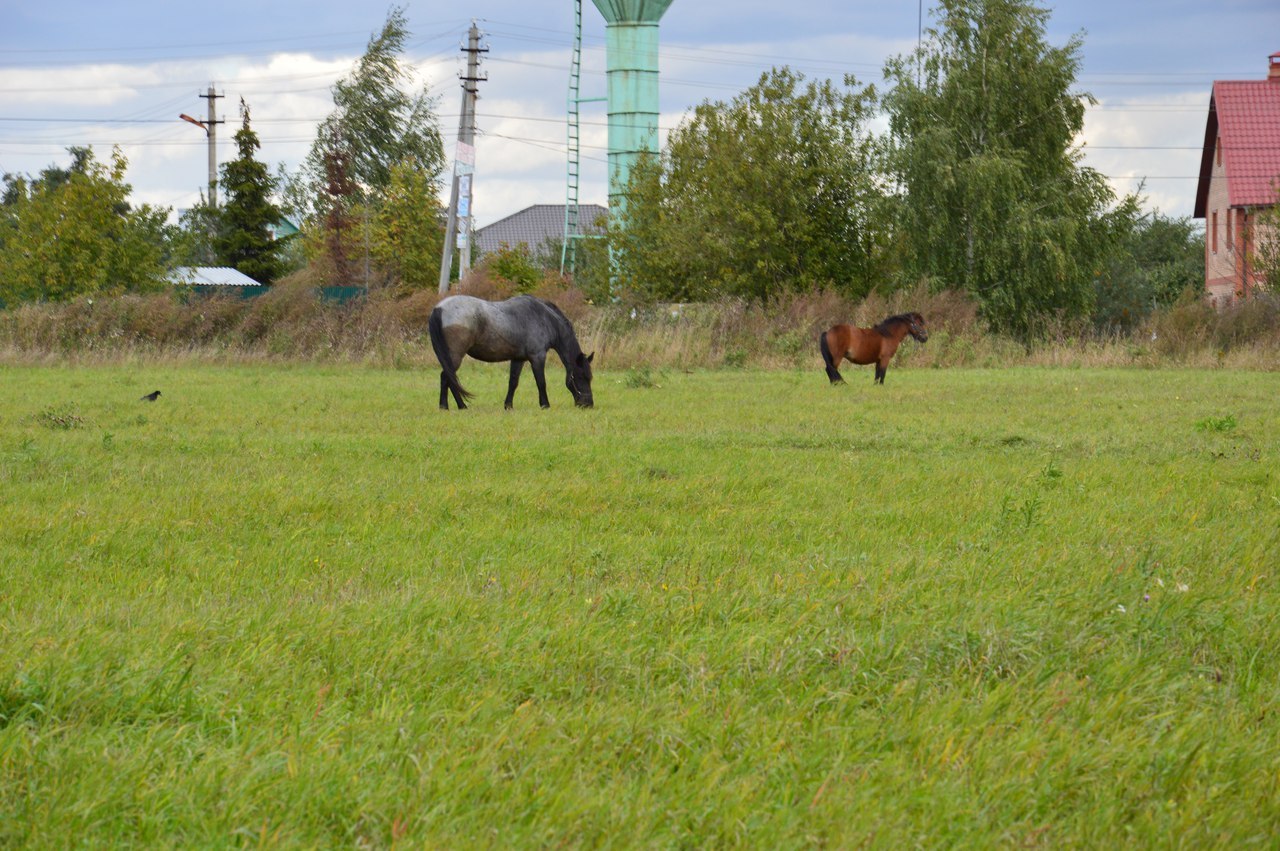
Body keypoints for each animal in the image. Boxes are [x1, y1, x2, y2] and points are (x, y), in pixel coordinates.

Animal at [424, 294, 593, 409]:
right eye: (581, 376)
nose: (588, 404)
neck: (544, 318)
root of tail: (440, 308)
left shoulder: (518, 359)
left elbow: (513, 382)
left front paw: (508, 406)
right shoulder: (537, 357)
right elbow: (541, 382)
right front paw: (545, 405)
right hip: (454, 356)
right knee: (447, 377)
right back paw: (456, 406)